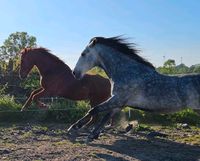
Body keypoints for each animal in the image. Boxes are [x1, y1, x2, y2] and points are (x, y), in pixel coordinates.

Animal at [67, 36, 200, 142]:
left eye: (83, 54)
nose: (74, 73)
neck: (128, 72)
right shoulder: (119, 104)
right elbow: (105, 117)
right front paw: (91, 135)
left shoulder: (117, 99)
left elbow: (94, 110)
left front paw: (75, 128)